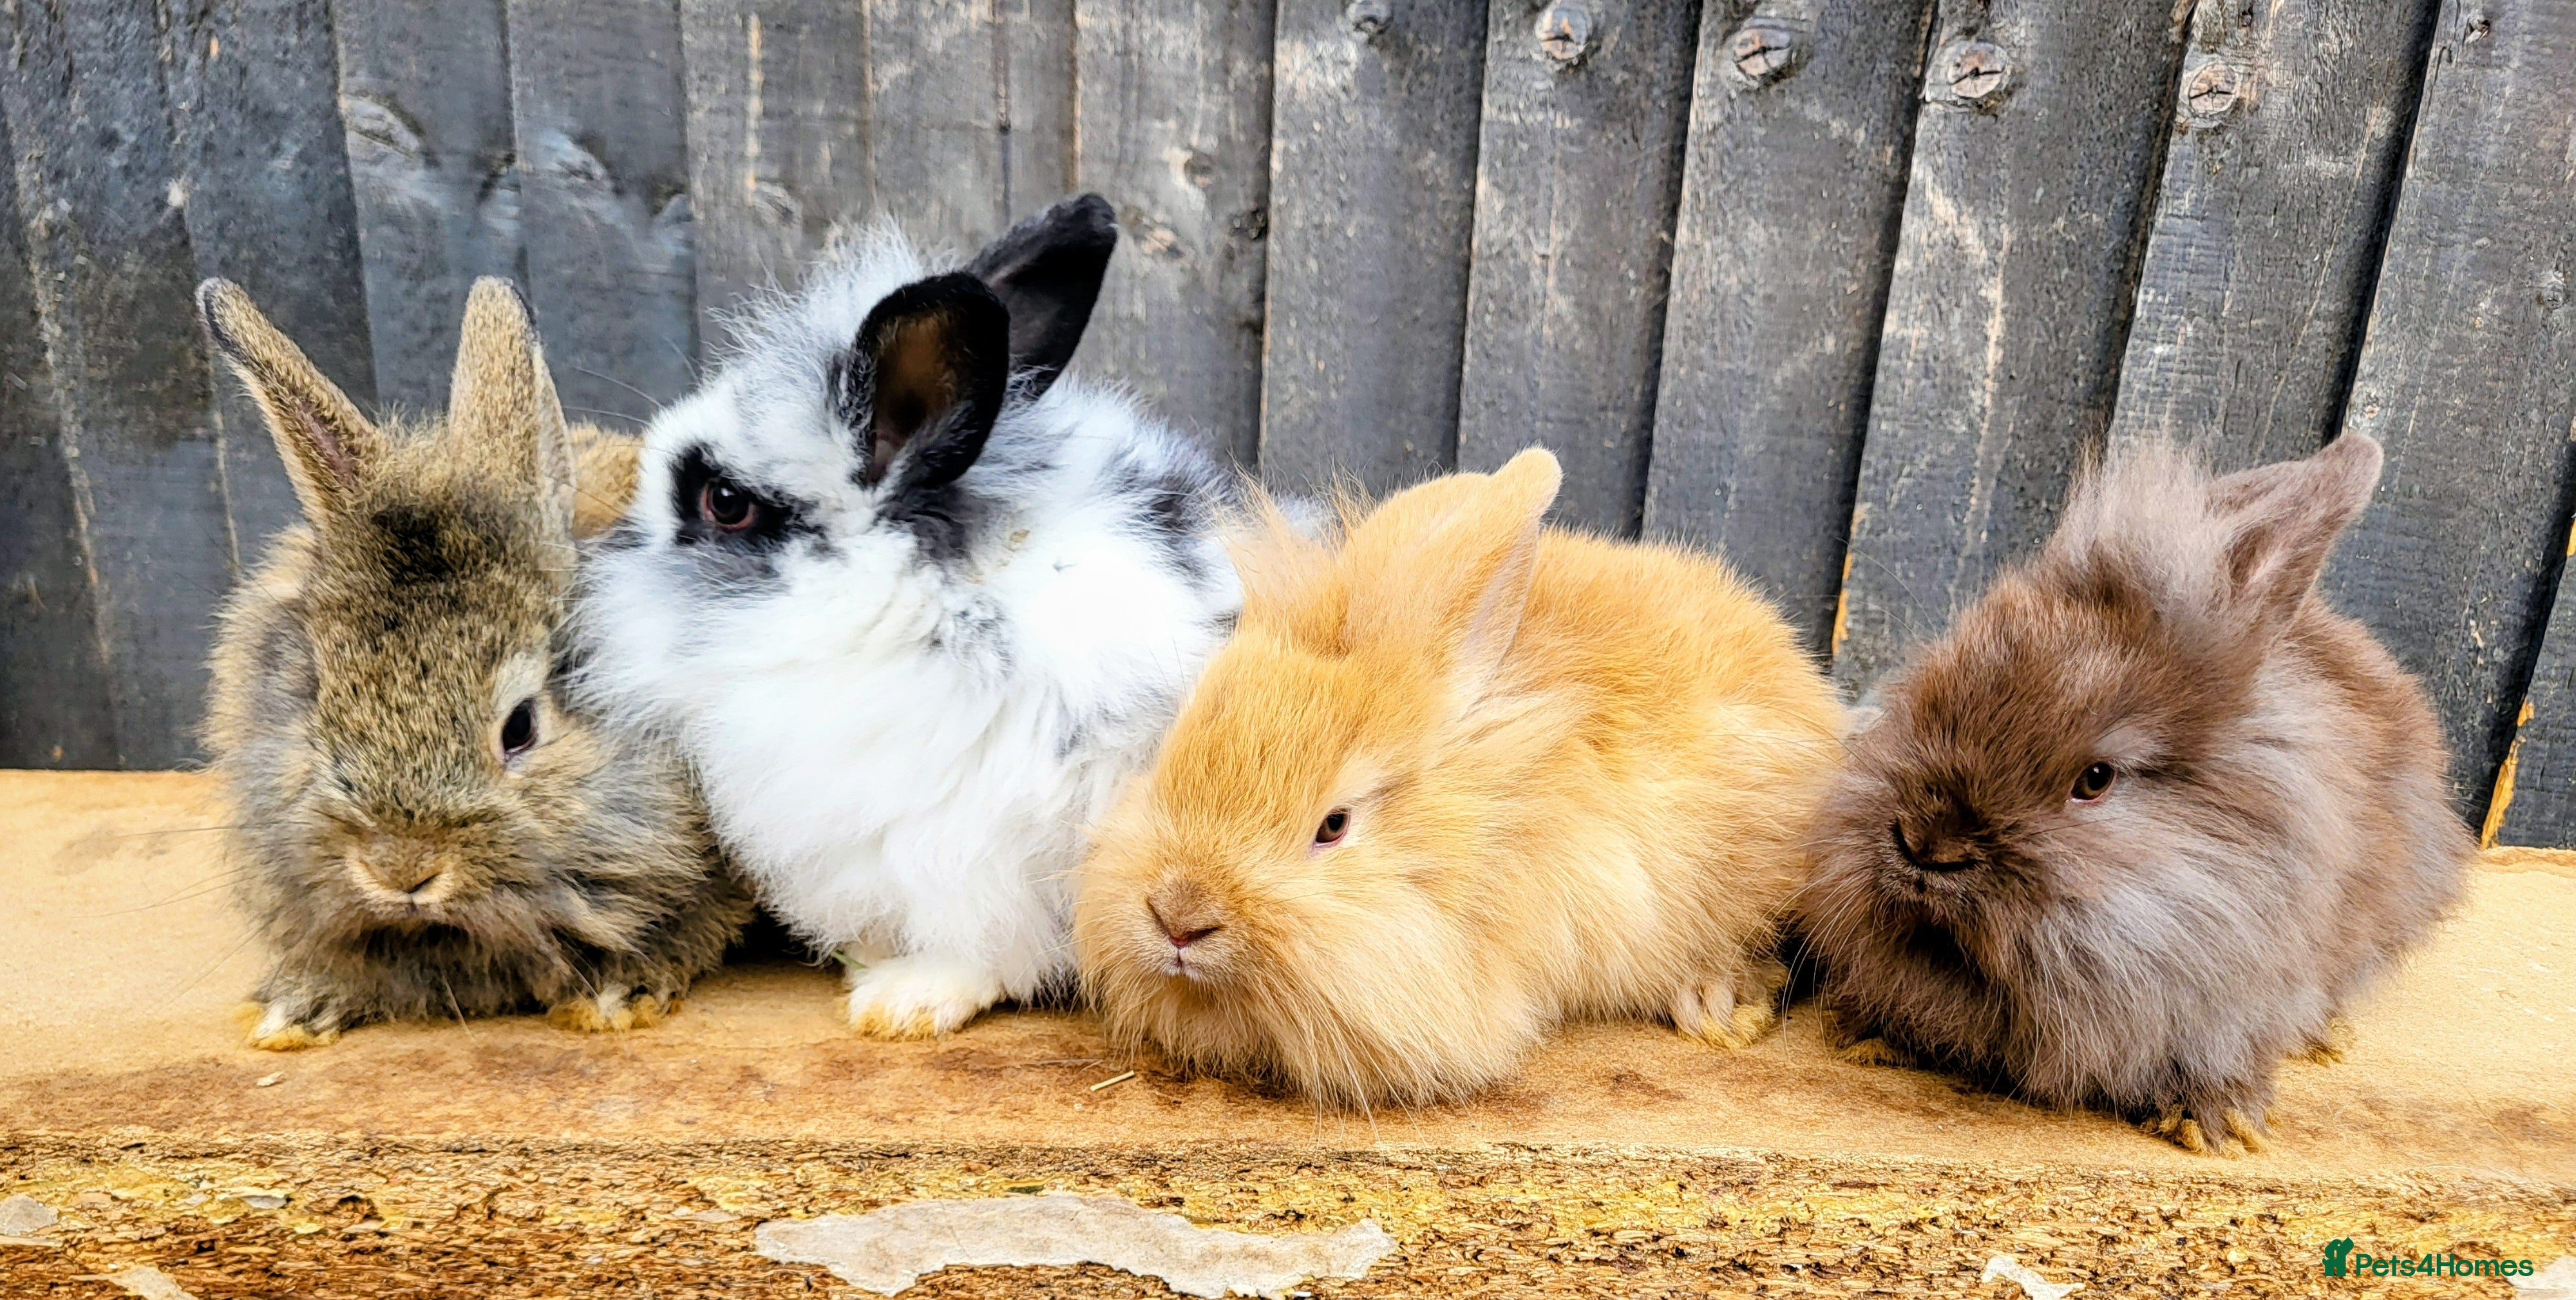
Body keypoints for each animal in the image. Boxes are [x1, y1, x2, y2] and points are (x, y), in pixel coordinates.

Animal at [572, 194, 1244, 1038]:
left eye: (723, 502)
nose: (603, 567)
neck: (925, 606)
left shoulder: (980, 848)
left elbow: (987, 947)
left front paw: (901, 1000)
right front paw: (866, 959)